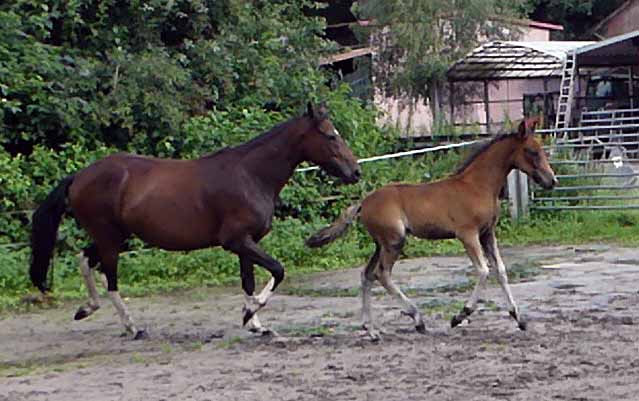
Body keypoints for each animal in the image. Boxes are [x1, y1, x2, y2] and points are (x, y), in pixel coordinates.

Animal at [30, 101, 360, 336]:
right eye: (330, 135)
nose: (355, 172)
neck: (250, 175)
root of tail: (79, 177)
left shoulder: (246, 243)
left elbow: (249, 281)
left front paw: (255, 323)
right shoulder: (236, 241)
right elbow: (278, 270)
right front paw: (249, 313)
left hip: (115, 236)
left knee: (85, 259)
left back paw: (87, 308)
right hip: (110, 238)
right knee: (110, 279)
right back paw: (133, 327)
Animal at [308, 117, 556, 340]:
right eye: (532, 151)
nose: (552, 181)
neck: (477, 186)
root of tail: (364, 202)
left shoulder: (487, 234)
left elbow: (501, 271)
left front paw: (519, 319)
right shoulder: (467, 235)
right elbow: (484, 271)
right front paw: (459, 316)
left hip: (381, 244)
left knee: (367, 275)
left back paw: (371, 330)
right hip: (394, 241)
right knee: (382, 274)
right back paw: (416, 319)